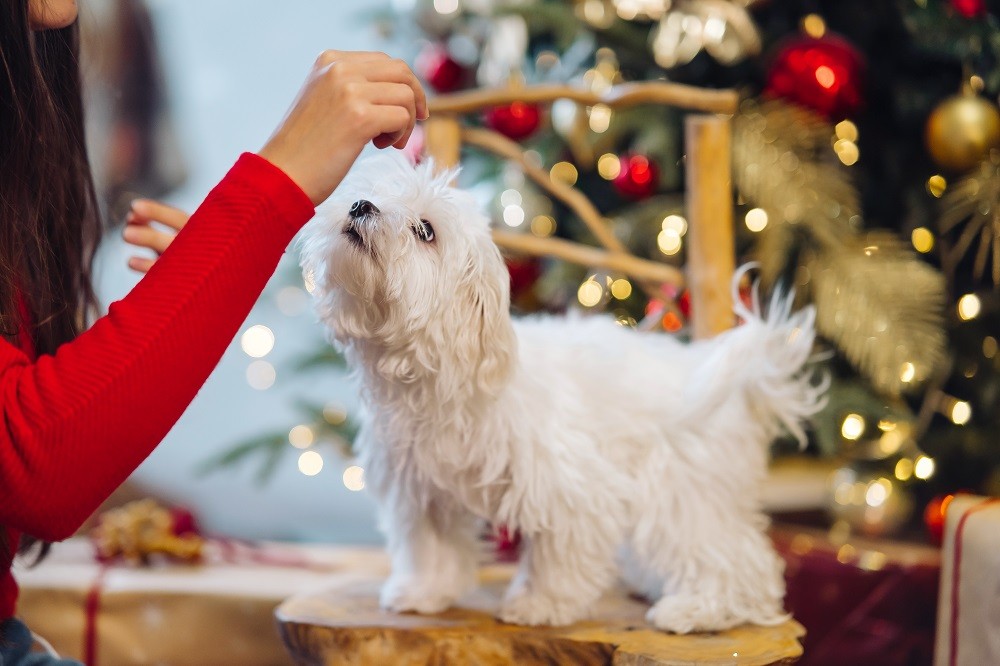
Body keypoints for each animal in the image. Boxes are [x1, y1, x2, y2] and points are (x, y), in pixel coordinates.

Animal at [298, 152, 828, 632]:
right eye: (374, 192)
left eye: (425, 230)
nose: (361, 205)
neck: (443, 380)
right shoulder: (422, 490)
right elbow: (432, 550)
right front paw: (424, 593)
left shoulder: (571, 490)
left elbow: (559, 559)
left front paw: (540, 606)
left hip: (682, 494)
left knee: (740, 561)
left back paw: (698, 610)